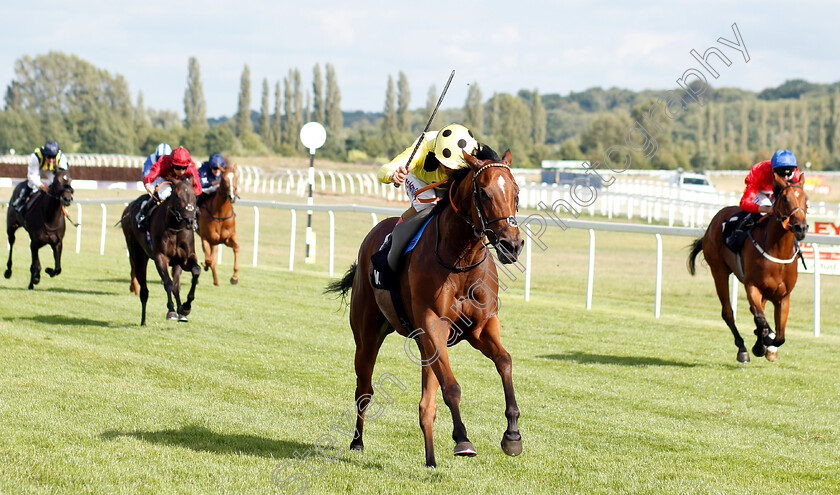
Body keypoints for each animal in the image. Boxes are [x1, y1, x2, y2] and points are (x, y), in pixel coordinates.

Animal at [120, 180, 203, 328]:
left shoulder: (185, 259)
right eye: (177, 196)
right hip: (138, 255)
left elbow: (195, 271)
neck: (175, 228)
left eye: (194, 194)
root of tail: (128, 210)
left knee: (176, 285)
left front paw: (185, 308)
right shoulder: (160, 257)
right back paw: (143, 320)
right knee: (144, 289)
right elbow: (167, 283)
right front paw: (171, 310)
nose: (190, 220)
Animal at [328, 146, 524, 468]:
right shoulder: (433, 325)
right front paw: (462, 439)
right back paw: (356, 442)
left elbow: (504, 361)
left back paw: (430, 459)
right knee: (364, 389)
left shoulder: (481, 327)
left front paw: (512, 435)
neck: (460, 260)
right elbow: (452, 387)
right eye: (483, 193)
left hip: (424, 345)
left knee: (426, 403)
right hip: (367, 335)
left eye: (516, 193)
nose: (512, 244)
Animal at [688, 172, 808, 362]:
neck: (778, 251)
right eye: (785, 199)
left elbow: (780, 335)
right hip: (719, 271)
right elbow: (760, 320)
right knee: (728, 312)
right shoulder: (753, 286)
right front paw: (759, 346)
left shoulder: (783, 296)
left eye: (806, 199)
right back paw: (742, 348)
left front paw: (769, 344)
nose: (801, 228)